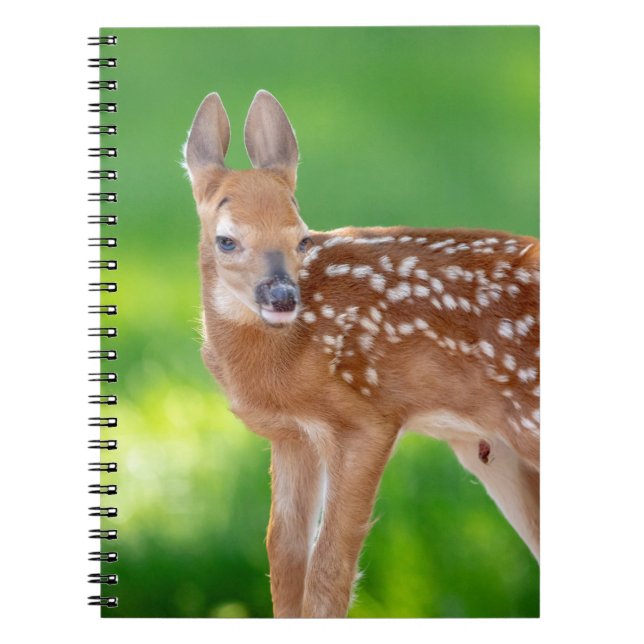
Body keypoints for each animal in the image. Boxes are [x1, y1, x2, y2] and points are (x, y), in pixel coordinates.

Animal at [184, 90, 540, 618]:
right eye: (227, 240)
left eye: (302, 238)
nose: (282, 298)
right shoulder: (291, 437)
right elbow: (284, 562)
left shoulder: (369, 417)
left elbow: (329, 572)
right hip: (496, 452)